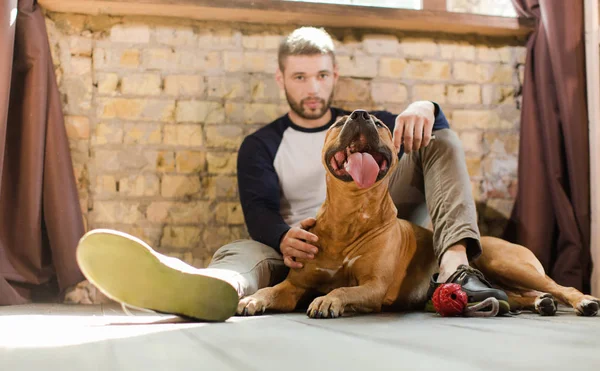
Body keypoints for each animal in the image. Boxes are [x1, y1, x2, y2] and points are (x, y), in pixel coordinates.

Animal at [237, 109, 596, 318]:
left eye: (380, 123)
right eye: (338, 122)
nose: (359, 115)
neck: (351, 214)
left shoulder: (374, 286)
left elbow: (343, 289)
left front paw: (328, 300)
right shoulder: (294, 285)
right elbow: (274, 290)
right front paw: (254, 298)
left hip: (507, 263)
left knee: (561, 287)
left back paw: (583, 301)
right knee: (521, 295)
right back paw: (539, 303)